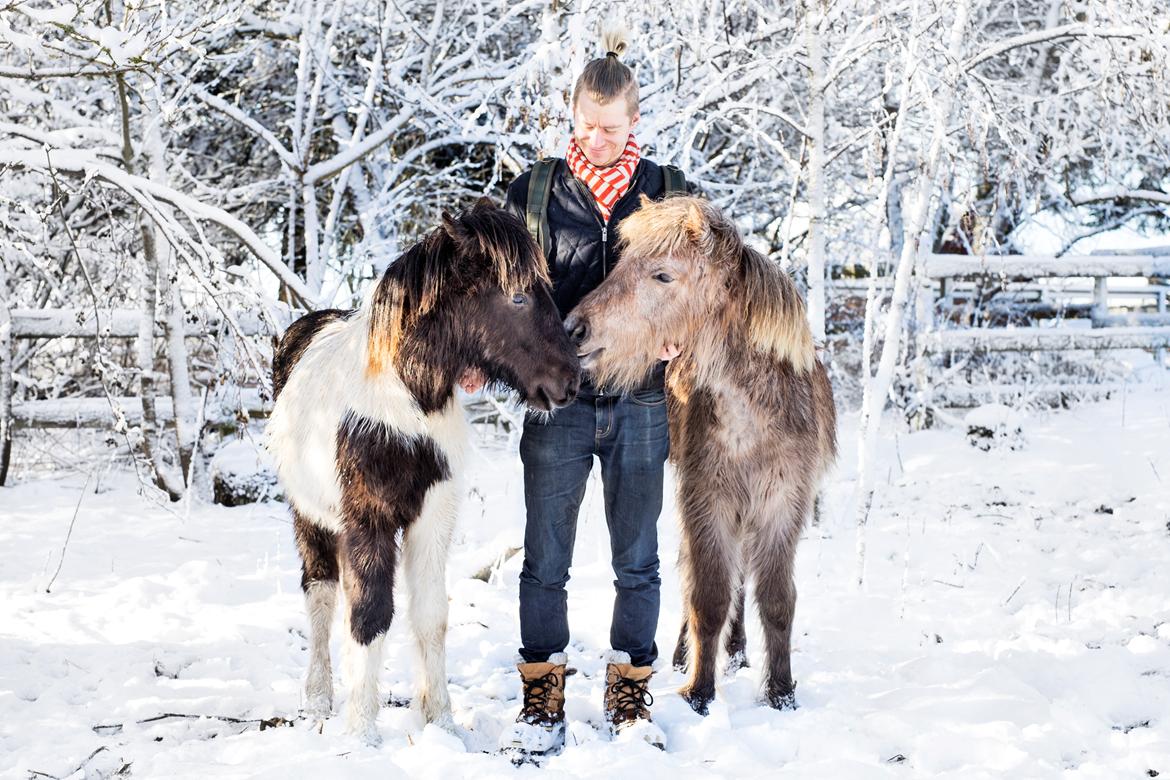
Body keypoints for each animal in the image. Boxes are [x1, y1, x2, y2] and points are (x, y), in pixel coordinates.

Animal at [264, 199, 575, 743]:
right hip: (311, 519)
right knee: (321, 597)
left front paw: (441, 723)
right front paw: (362, 733)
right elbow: (370, 616)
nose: (571, 381)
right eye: (517, 297)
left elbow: (431, 616)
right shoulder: (368, 521)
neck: (406, 405)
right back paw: (319, 701)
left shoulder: (432, 517)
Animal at [563, 195, 833, 715]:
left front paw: (781, 692)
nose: (573, 328)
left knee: (740, 577)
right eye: (622, 261)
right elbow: (707, 597)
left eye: (663, 275)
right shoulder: (705, 500)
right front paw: (700, 692)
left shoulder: (782, 506)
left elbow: (776, 600)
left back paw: (738, 652)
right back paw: (687, 653)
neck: (754, 418)